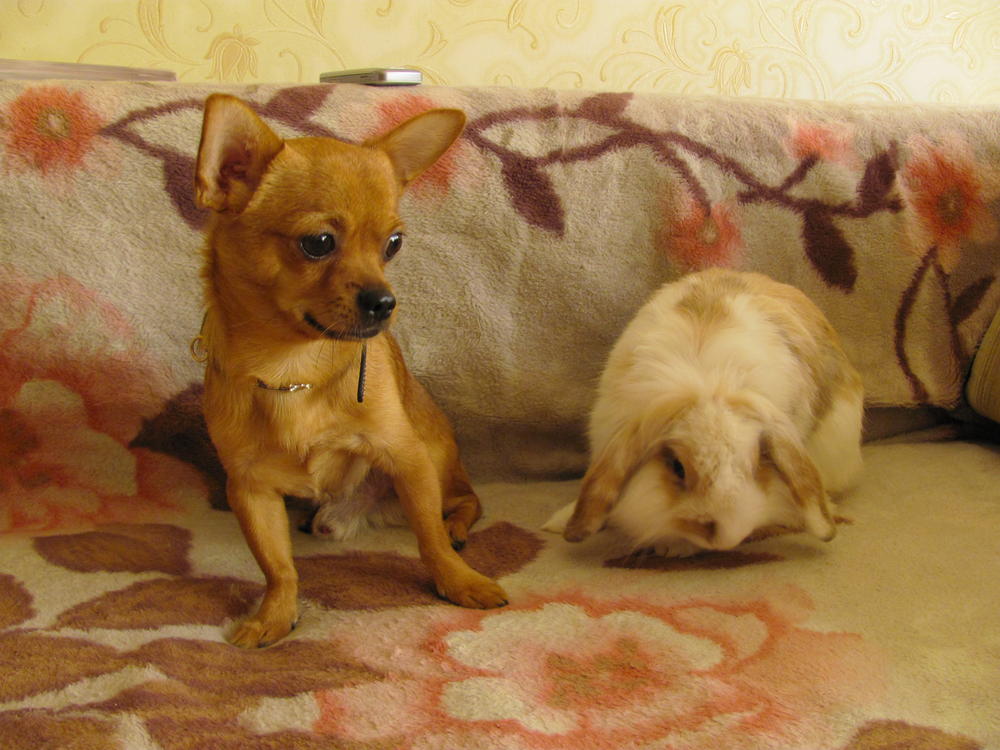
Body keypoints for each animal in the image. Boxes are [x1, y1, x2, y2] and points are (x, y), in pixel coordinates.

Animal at [193, 94, 507, 648]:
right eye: (318, 242)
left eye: (394, 244)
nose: (385, 303)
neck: (293, 367)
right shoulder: (250, 489)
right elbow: (277, 566)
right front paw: (275, 615)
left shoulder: (408, 459)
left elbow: (428, 538)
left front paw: (459, 582)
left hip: (436, 457)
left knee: (463, 501)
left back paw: (458, 529)